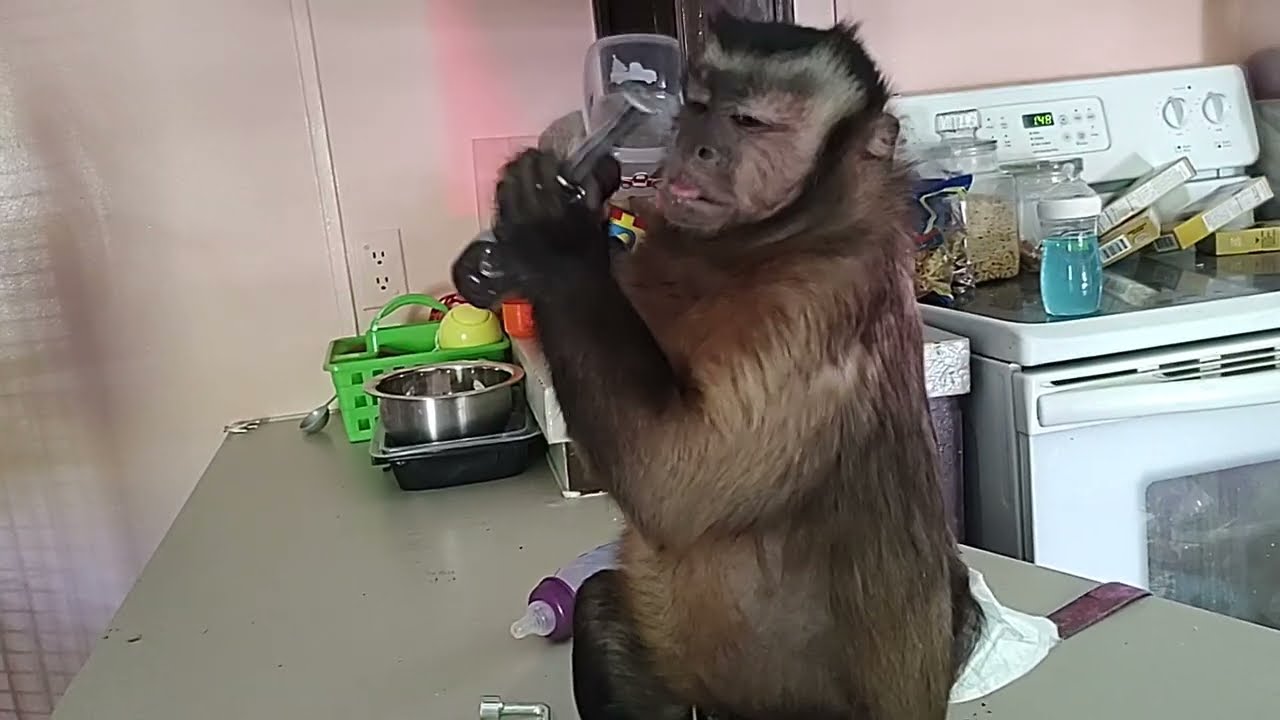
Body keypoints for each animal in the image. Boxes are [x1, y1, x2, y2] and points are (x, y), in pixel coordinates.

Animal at [459, 14, 983, 720]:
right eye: (699, 109)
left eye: (747, 122)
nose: (697, 148)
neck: (765, 244)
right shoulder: (663, 249)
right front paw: (577, 193)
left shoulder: (816, 305)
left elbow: (671, 482)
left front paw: (553, 231)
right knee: (600, 604)